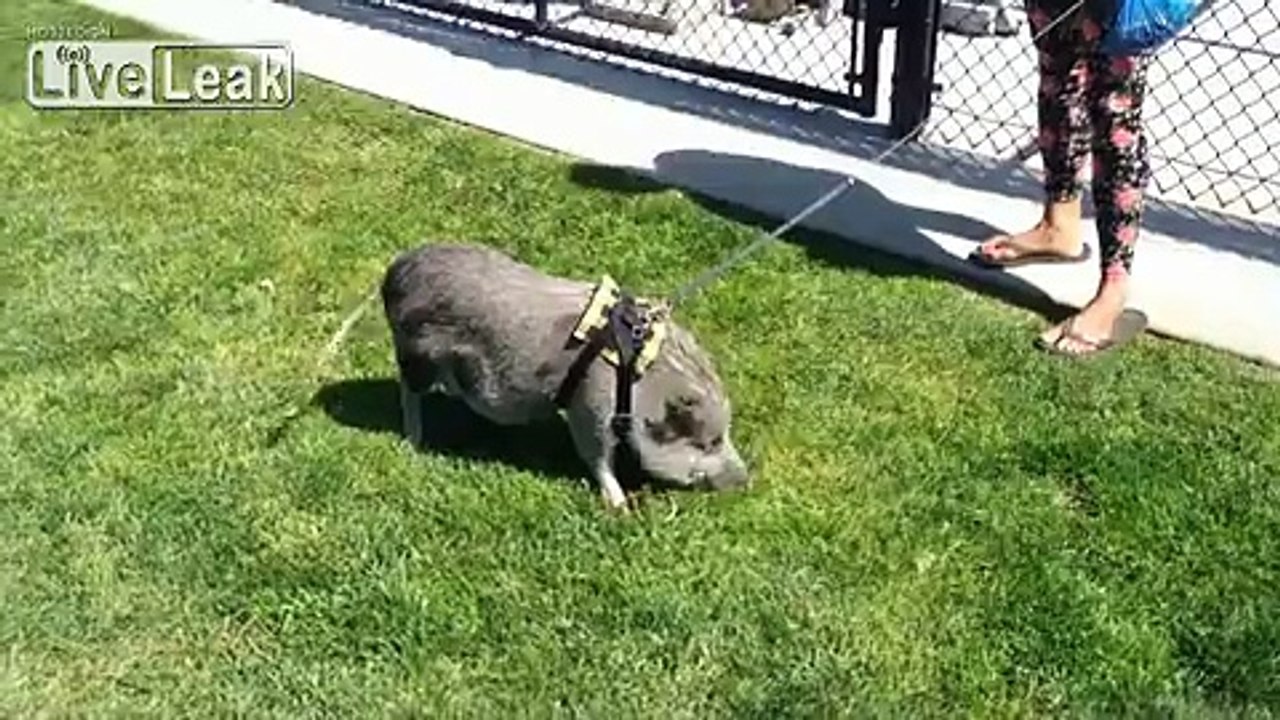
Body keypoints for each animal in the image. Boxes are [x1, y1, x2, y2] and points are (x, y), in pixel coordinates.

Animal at [380, 241, 750, 509]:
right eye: (709, 442)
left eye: (724, 435)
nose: (747, 479)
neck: (636, 377)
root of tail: (394, 273)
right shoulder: (590, 403)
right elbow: (596, 455)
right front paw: (619, 506)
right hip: (417, 354)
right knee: (408, 391)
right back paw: (415, 440)